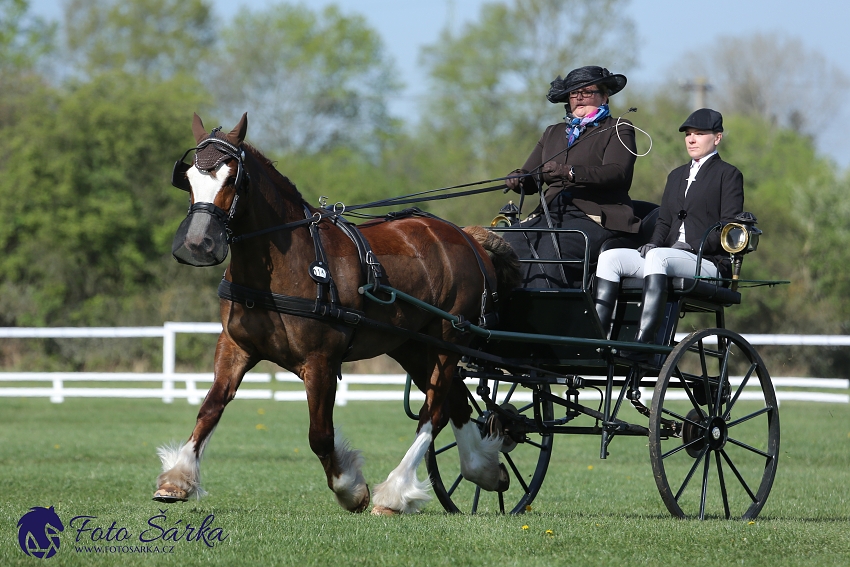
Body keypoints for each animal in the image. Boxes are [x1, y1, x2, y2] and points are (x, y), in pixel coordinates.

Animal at [155, 114, 520, 516]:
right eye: (189, 177)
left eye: (232, 178)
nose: (197, 245)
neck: (290, 265)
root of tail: (467, 237)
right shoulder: (236, 347)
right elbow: (210, 408)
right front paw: (177, 479)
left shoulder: (321, 362)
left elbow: (320, 435)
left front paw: (351, 489)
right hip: (410, 345)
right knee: (455, 401)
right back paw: (483, 469)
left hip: (449, 340)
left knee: (434, 412)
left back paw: (395, 493)